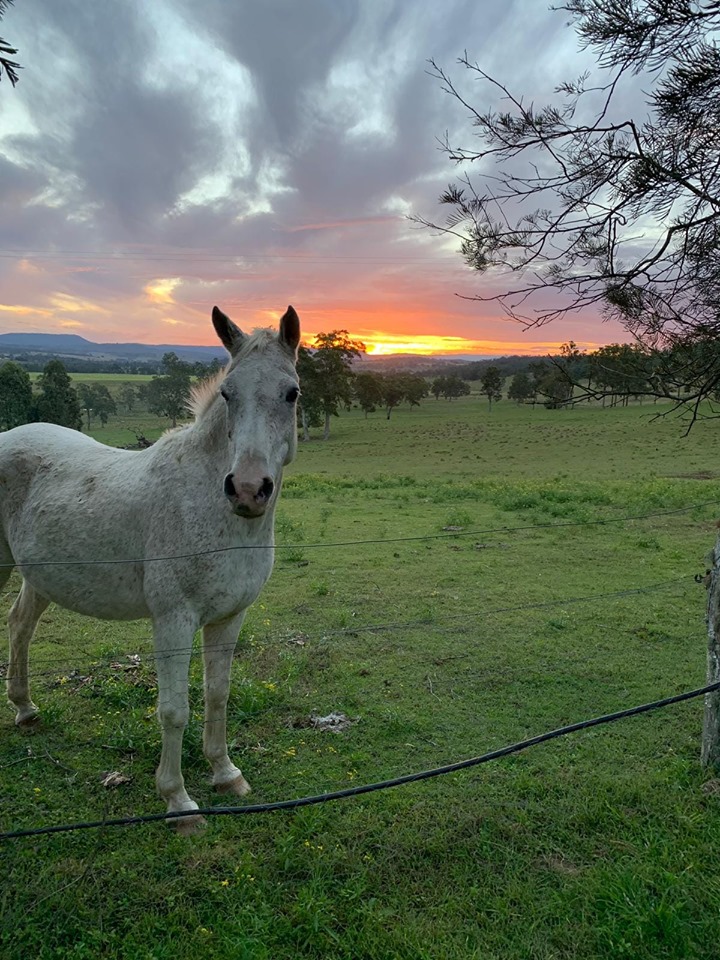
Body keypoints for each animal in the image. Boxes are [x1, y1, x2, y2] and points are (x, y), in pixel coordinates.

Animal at [0, 308, 298, 832]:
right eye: (228, 393)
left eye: (292, 393)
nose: (247, 489)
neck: (212, 508)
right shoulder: (174, 620)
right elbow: (174, 709)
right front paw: (178, 801)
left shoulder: (229, 617)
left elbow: (217, 694)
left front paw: (226, 774)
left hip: (39, 575)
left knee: (20, 625)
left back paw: (26, 710)